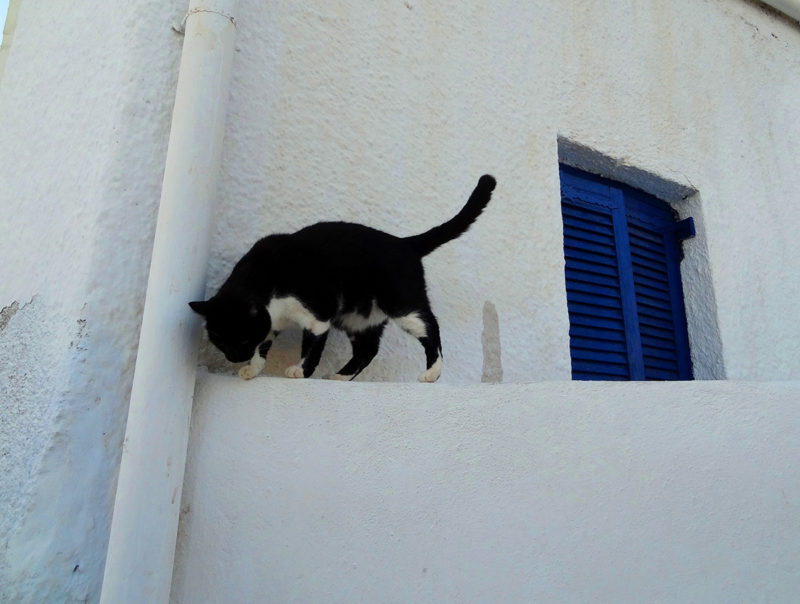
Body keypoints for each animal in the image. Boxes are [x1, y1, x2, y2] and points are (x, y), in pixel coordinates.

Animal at [191, 175, 496, 382]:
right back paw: (340, 376)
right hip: (357, 318)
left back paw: (432, 372)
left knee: (430, 327)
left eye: (242, 338)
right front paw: (253, 368)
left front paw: (300, 371)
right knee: (368, 349)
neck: (266, 282)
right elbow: (264, 345)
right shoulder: (273, 321)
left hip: (401, 303)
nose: (233, 357)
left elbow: (311, 347)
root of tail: (405, 243)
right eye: (220, 340)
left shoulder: (317, 314)